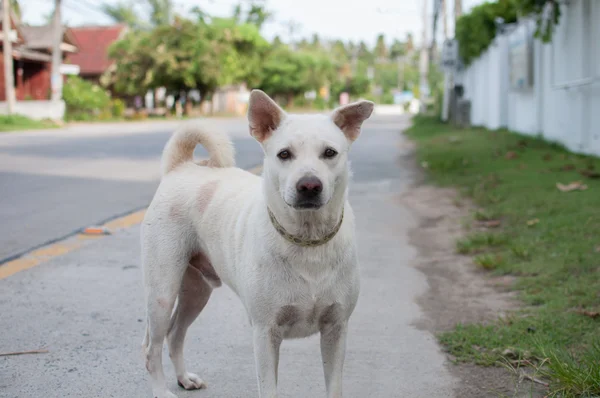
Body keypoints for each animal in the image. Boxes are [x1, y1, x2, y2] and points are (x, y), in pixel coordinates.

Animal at [141, 90, 372, 398]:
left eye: (330, 153)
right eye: (284, 154)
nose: (309, 186)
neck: (307, 239)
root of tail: (181, 168)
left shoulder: (336, 329)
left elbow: (334, 387)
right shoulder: (265, 332)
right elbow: (268, 388)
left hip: (197, 290)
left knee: (174, 333)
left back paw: (184, 378)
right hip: (162, 292)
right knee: (152, 346)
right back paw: (160, 389)